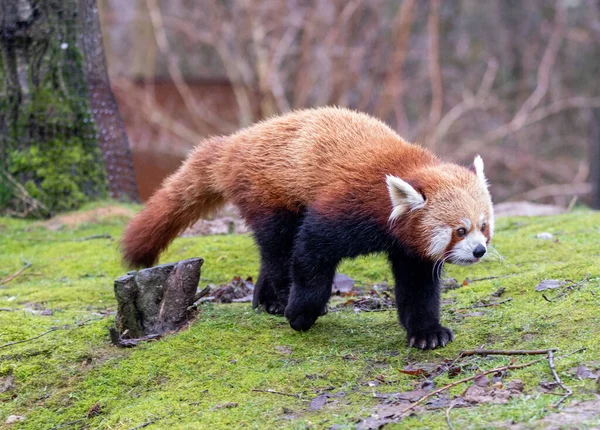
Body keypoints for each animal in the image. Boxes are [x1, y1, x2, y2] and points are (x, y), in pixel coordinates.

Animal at [122, 106, 492, 350]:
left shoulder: (409, 247)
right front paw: (301, 313)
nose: (479, 251)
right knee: (278, 249)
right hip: (270, 192)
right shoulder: (347, 206)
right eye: (460, 230)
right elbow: (311, 253)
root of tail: (235, 143)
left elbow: (418, 287)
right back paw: (279, 299)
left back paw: (263, 299)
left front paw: (427, 332)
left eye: (484, 226)